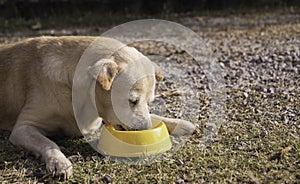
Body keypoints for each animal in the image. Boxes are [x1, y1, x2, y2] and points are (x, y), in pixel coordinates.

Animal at [0, 36, 196, 179]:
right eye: (131, 101)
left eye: (149, 102)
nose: (146, 131)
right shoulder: (23, 128)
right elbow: (48, 142)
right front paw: (59, 162)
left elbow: (155, 116)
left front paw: (179, 123)